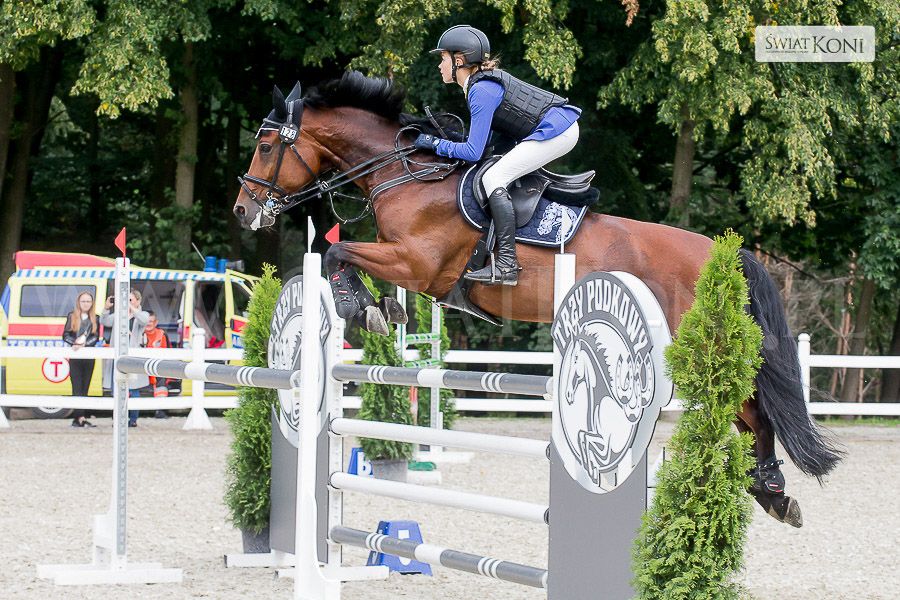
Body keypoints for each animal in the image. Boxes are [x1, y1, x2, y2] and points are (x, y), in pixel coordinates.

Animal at [233, 71, 842, 527]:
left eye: (265, 145)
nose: (244, 211)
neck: (405, 175)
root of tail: (722, 255)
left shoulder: (416, 264)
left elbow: (338, 251)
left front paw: (363, 309)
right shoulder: (406, 263)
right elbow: (342, 256)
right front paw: (381, 310)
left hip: (701, 350)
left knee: (753, 409)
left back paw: (771, 490)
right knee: (744, 411)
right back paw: (770, 492)